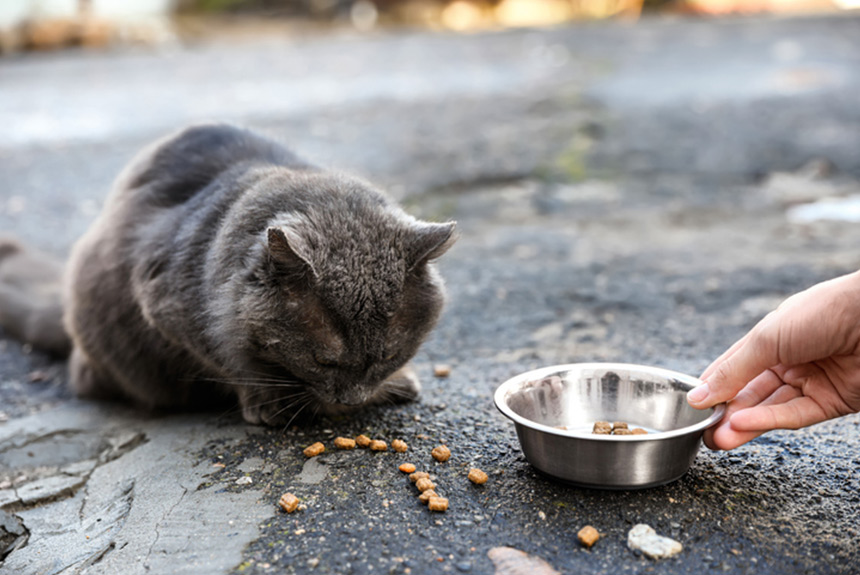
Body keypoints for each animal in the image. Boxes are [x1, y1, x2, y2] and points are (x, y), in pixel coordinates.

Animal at [0, 124, 456, 426]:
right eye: (322, 360)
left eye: (389, 355)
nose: (350, 399)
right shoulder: (167, 308)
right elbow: (229, 361)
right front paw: (271, 403)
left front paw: (395, 383)